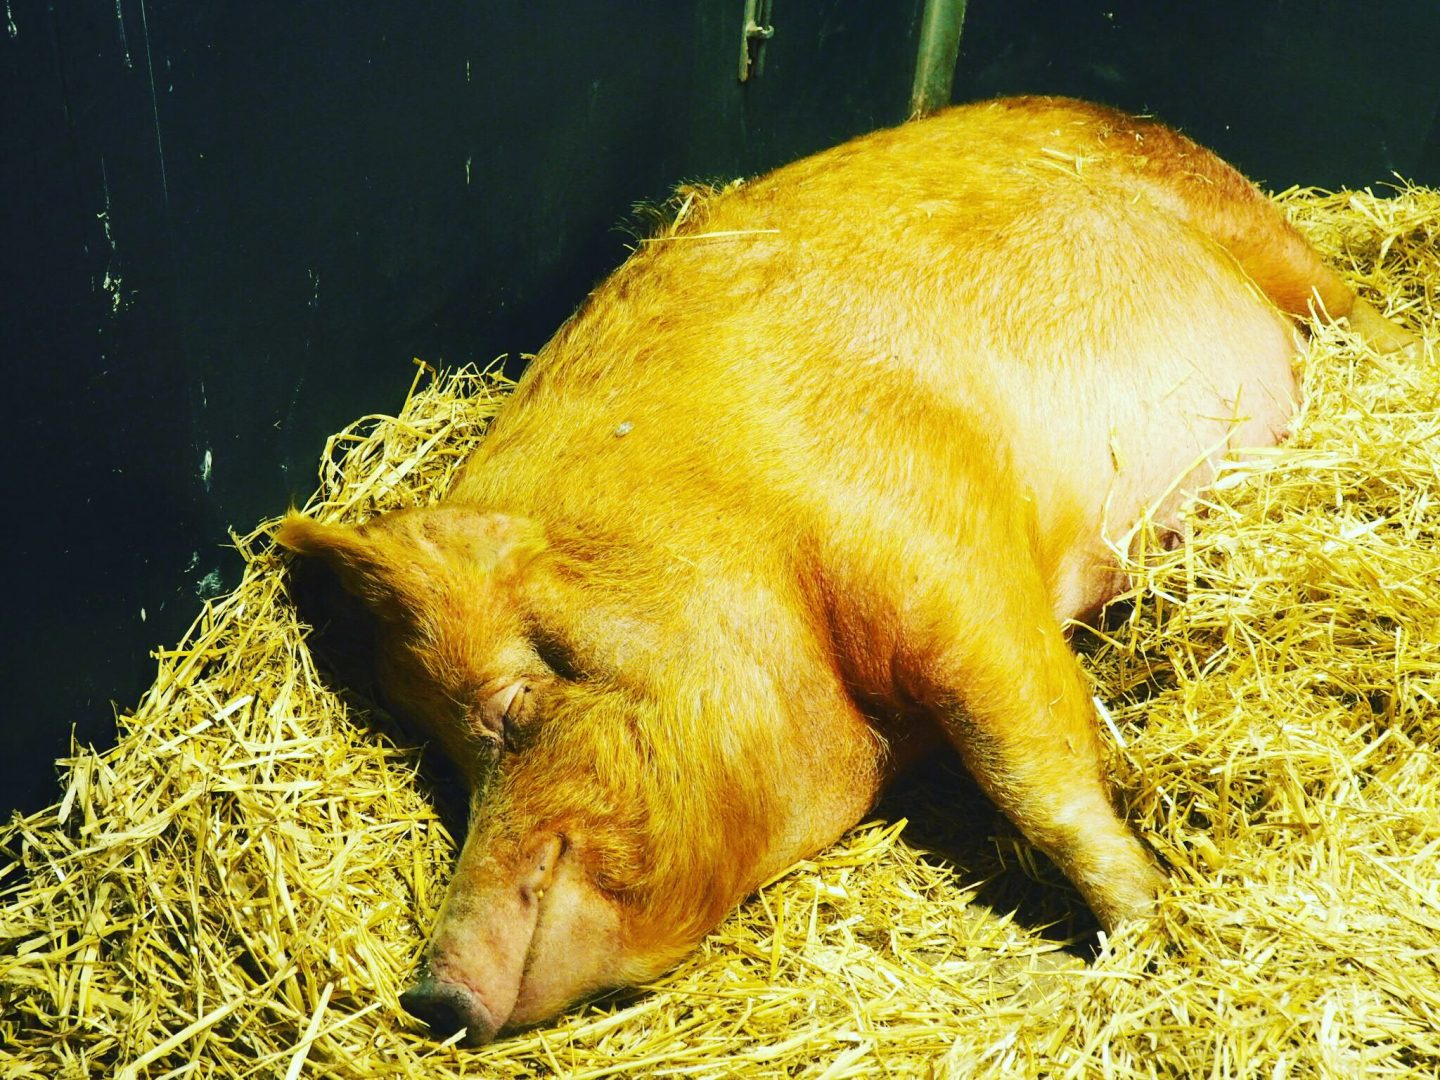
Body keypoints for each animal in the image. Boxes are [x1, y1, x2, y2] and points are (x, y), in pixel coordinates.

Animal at [275, 96, 1413, 1045]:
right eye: (439, 762)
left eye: (510, 709)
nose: (429, 998)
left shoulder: (936, 543)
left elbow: (1033, 765)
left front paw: (1147, 935)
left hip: (1254, 230)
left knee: (1362, 313)